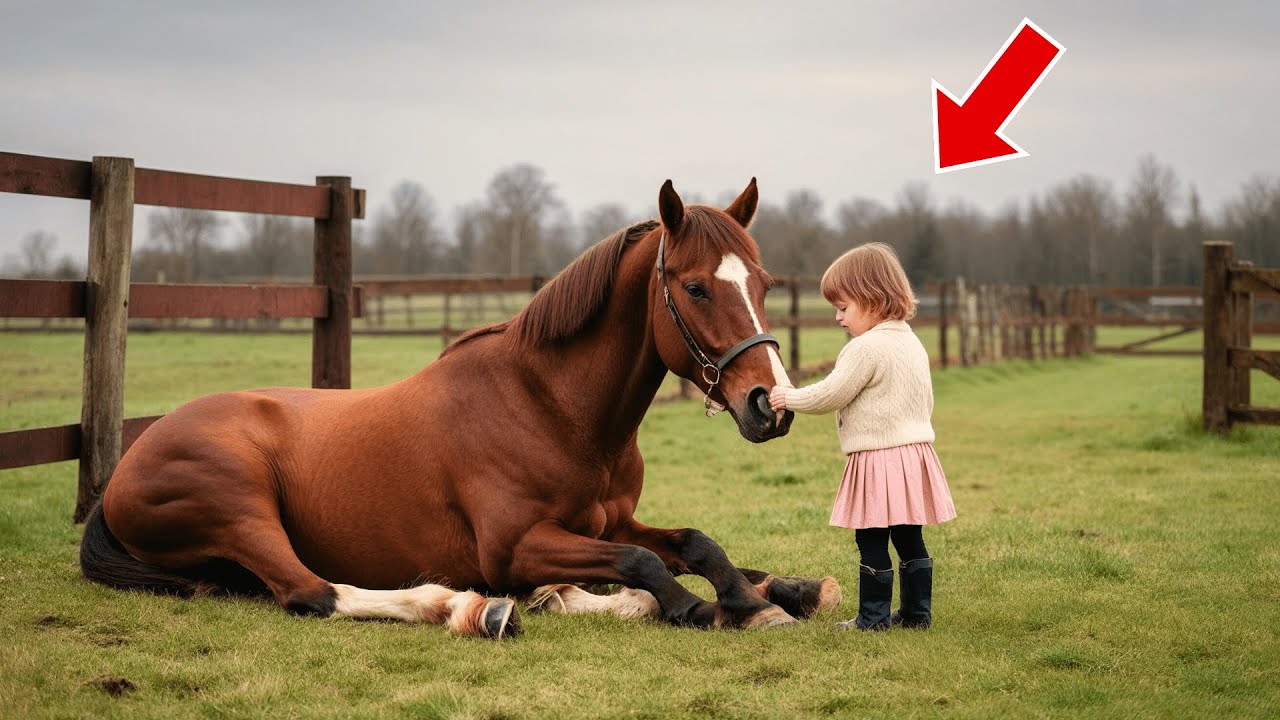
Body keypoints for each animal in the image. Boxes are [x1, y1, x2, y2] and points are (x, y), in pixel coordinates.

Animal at [80, 178, 842, 639]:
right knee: (312, 592)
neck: (550, 408)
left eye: (764, 282)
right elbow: (643, 565)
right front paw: (700, 606)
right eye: (695, 288)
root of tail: (128, 464)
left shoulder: (613, 520)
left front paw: (769, 595)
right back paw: (466, 605)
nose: (769, 406)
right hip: (243, 510)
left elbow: (697, 544)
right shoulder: (515, 544)